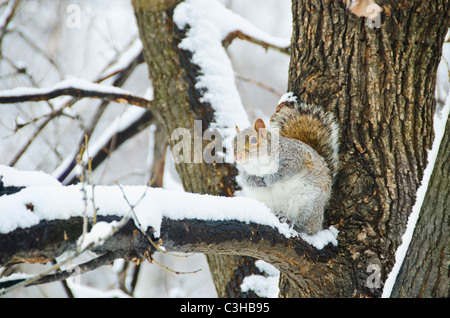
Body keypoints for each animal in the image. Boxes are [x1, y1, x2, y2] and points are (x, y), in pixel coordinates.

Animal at [236, 93, 338, 235]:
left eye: (254, 140)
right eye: (234, 142)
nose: (238, 157)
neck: (259, 164)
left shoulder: (294, 158)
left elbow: (284, 171)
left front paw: (269, 179)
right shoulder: (245, 171)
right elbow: (245, 179)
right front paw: (256, 181)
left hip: (308, 204)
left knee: (306, 227)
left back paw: (290, 221)